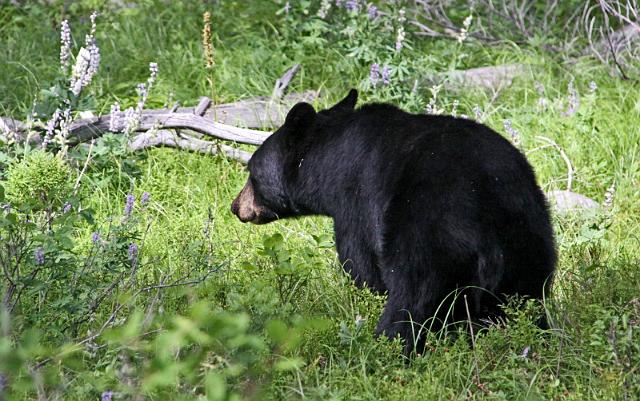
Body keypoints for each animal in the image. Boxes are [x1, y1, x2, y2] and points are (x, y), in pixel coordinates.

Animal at [230, 89, 556, 352]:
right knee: (528, 296)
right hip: (528, 236)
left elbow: (361, 266)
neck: (330, 164)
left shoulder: (355, 207)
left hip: (428, 232)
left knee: (413, 296)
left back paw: (388, 345)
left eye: (251, 171)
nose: (235, 206)